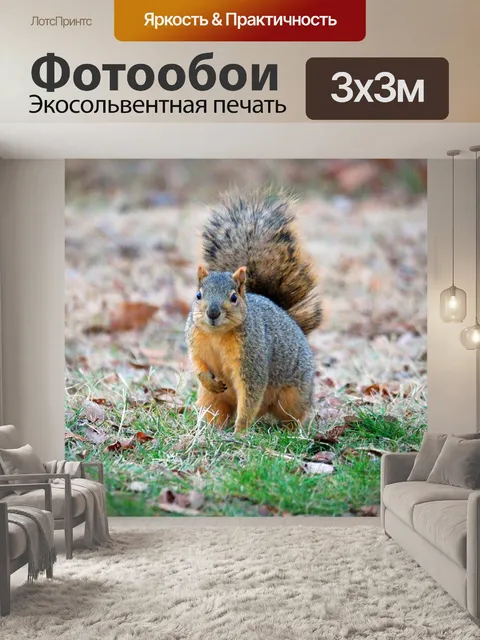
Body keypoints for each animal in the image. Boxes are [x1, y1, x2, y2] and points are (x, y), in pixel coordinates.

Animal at [185, 190, 322, 434]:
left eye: (233, 297)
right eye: (199, 295)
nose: (212, 313)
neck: (217, 334)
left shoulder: (253, 359)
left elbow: (250, 394)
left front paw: (240, 432)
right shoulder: (196, 343)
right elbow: (198, 365)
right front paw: (207, 378)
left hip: (293, 395)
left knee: (292, 414)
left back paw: (292, 431)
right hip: (211, 399)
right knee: (215, 410)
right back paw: (209, 429)